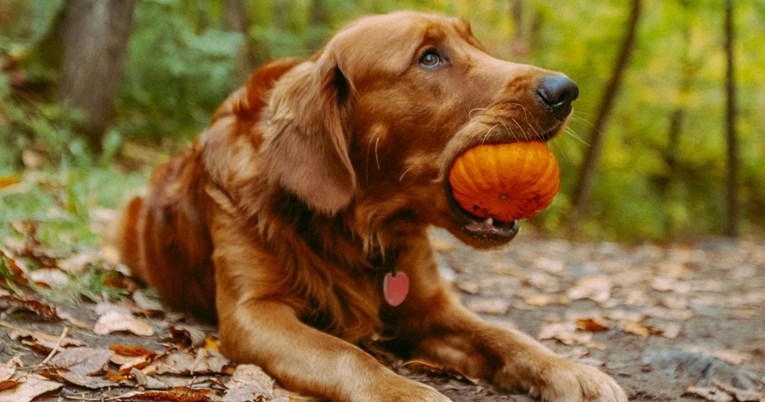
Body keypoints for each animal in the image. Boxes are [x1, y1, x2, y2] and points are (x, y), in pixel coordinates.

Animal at [116, 11, 624, 400]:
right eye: (429, 57)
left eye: (475, 43)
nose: (565, 90)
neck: (361, 228)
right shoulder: (253, 311)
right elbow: (345, 353)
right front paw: (407, 392)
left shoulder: (431, 308)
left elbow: (504, 334)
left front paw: (571, 370)